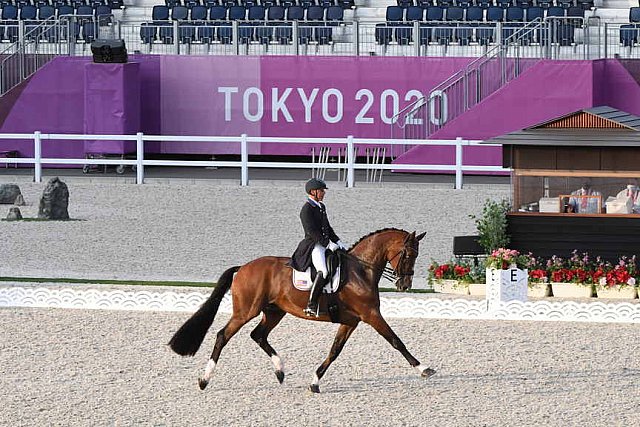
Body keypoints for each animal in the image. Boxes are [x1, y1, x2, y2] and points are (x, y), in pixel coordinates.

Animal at [169, 229, 436, 392]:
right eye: (408, 254)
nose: (405, 285)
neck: (361, 271)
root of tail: (243, 267)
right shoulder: (371, 315)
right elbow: (396, 341)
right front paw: (424, 369)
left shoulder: (351, 321)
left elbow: (334, 351)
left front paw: (315, 382)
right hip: (246, 311)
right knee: (223, 336)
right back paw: (204, 380)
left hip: (274, 311)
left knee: (258, 335)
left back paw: (280, 372)